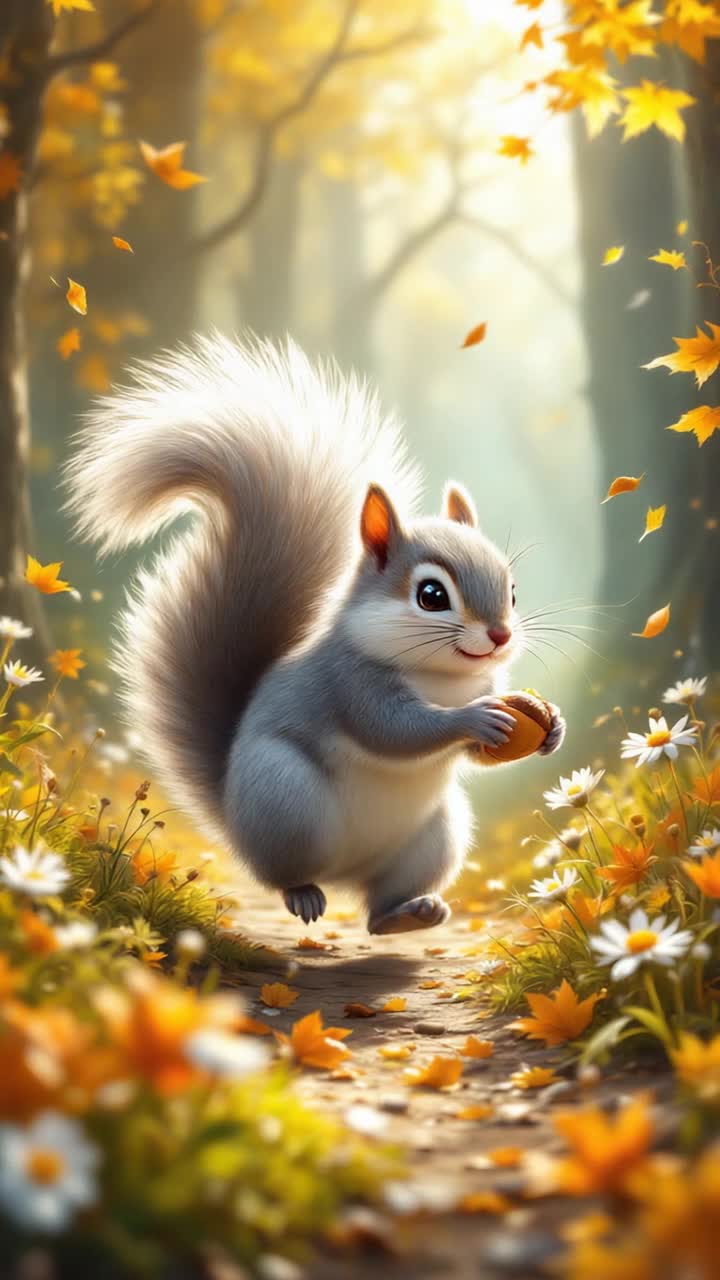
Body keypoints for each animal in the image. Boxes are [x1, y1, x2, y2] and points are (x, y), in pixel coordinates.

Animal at [64, 335, 565, 936]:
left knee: (377, 908)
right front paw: (474, 718)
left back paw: (406, 914)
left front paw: (552, 725)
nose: (499, 635)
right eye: (431, 595)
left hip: (435, 836)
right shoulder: (350, 683)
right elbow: (394, 730)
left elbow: (476, 754)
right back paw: (304, 894)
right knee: (284, 874)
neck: (442, 677)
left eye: (512, 590)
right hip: (287, 800)